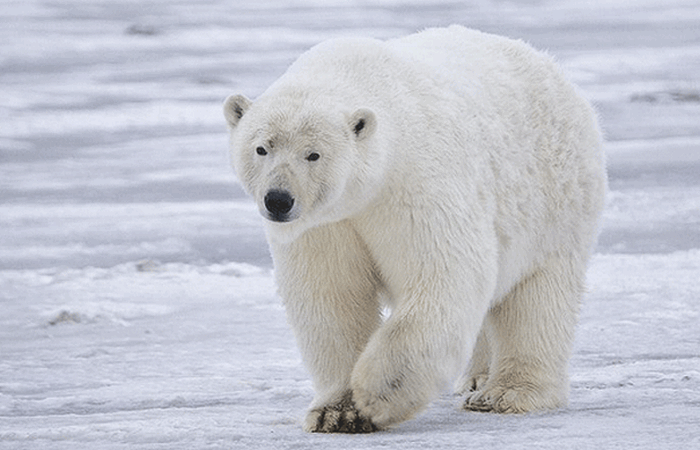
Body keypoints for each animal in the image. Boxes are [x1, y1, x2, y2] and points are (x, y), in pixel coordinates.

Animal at [224, 25, 608, 432]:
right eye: (261, 148)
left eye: (313, 154)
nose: (278, 200)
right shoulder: (325, 224)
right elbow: (331, 296)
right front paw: (337, 412)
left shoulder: (414, 183)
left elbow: (444, 274)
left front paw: (376, 394)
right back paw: (476, 378)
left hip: (555, 200)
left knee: (537, 297)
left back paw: (505, 393)